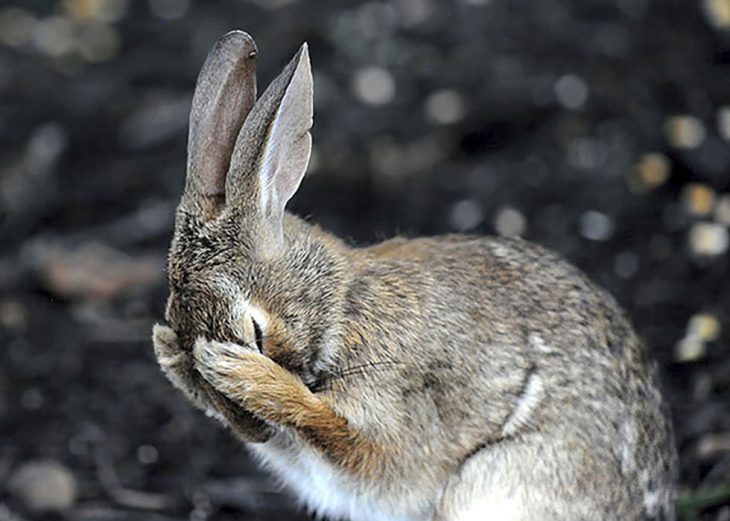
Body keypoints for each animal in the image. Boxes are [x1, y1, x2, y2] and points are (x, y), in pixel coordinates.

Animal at [152, 31, 676, 520]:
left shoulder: (394, 413)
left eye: (255, 332)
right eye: (182, 335)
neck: (340, 307)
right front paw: (170, 355)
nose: (253, 430)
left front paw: (245, 374)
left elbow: (350, 441)